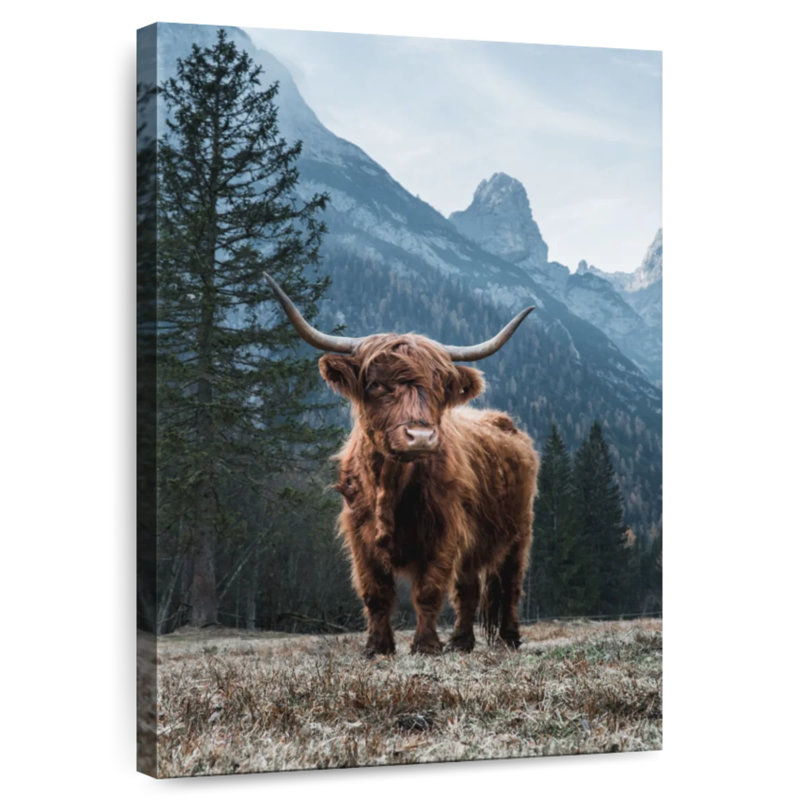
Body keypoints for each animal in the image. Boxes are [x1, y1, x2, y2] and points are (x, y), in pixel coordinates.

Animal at [265, 273, 539, 656]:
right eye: (376, 384)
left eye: (439, 386)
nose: (420, 436)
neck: (390, 485)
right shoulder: (359, 536)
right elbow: (375, 593)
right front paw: (377, 647)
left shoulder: (444, 532)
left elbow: (429, 591)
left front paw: (425, 645)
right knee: (468, 589)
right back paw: (461, 642)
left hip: (519, 532)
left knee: (510, 585)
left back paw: (509, 638)